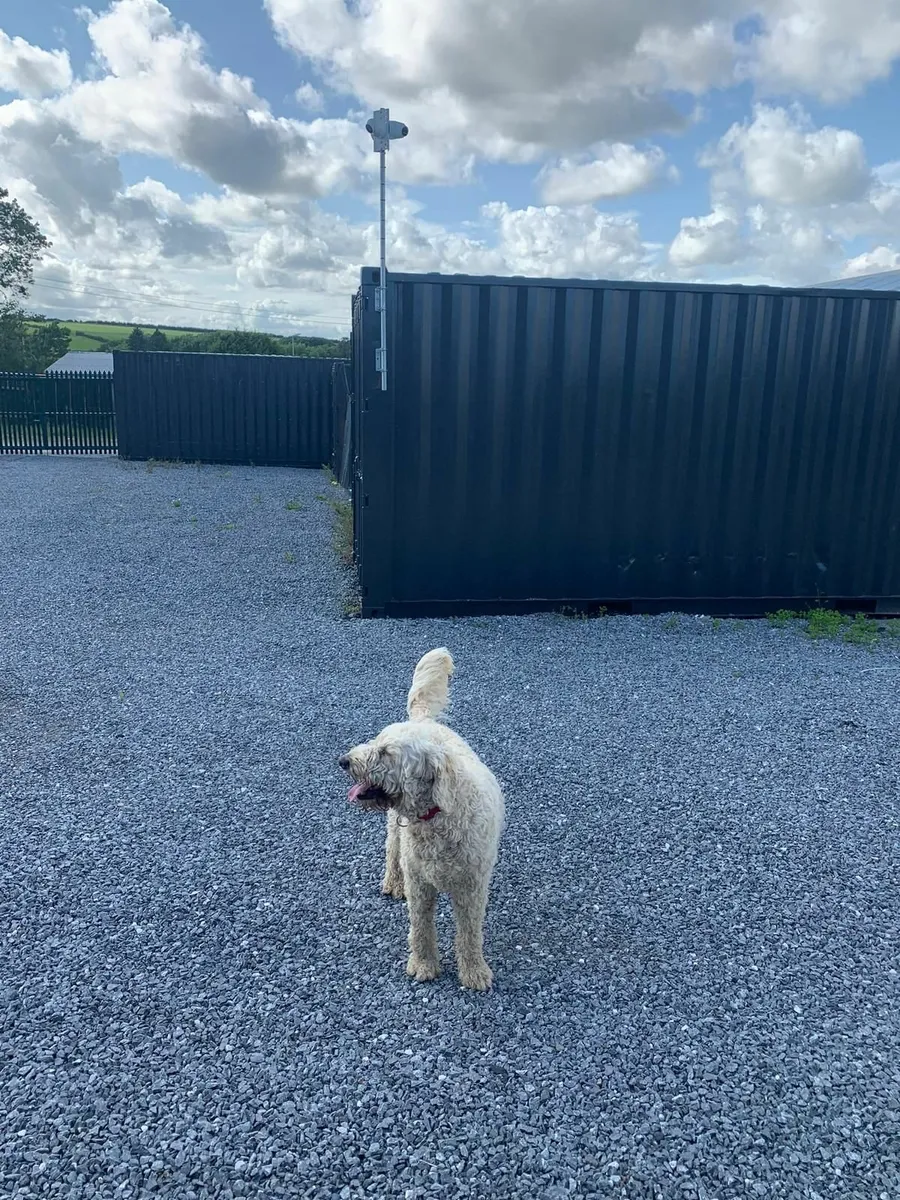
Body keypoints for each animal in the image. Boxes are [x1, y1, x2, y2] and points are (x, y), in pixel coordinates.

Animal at [340, 652, 504, 988]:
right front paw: (424, 964)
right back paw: (393, 882)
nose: (344, 761)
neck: (437, 817)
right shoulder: (419, 884)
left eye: (385, 752)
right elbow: (420, 929)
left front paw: (474, 971)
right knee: (392, 851)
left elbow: (470, 933)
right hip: (394, 830)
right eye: (376, 742)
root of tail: (424, 721)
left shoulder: (472, 888)